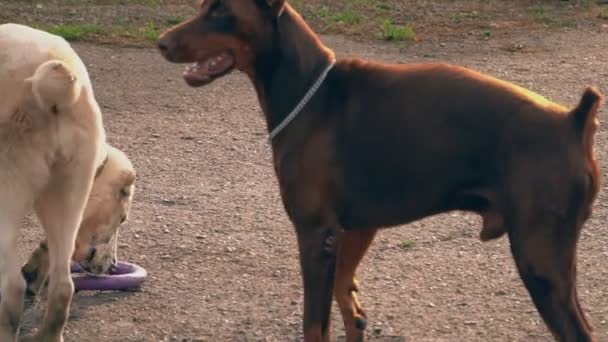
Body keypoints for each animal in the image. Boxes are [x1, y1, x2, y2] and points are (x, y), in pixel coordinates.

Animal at [157, 1, 604, 340]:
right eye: (203, 5)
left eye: (221, 10)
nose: (161, 43)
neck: (309, 91)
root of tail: (573, 121)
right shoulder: (354, 229)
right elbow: (345, 294)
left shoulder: (315, 234)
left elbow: (314, 324)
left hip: (539, 256)